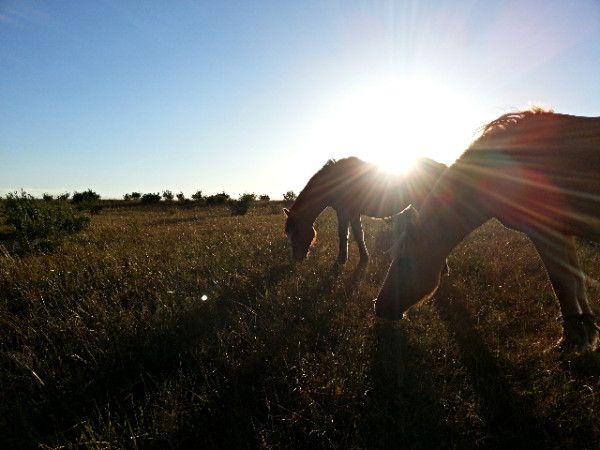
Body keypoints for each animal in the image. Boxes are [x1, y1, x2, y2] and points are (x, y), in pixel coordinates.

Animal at [284, 157, 446, 264]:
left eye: (297, 233)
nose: (297, 260)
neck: (335, 181)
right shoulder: (351, 212)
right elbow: (357, 234)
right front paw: (363, 258)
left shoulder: (345, 211)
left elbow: (346, 234)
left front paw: (343, 260)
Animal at [376, 109, 600, 352]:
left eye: (404, 260)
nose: (379, 307)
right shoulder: (563, 232)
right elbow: (577, 283)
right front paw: (586, 336)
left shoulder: (546, 231)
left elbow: (563, 285)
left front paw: (568, 342)